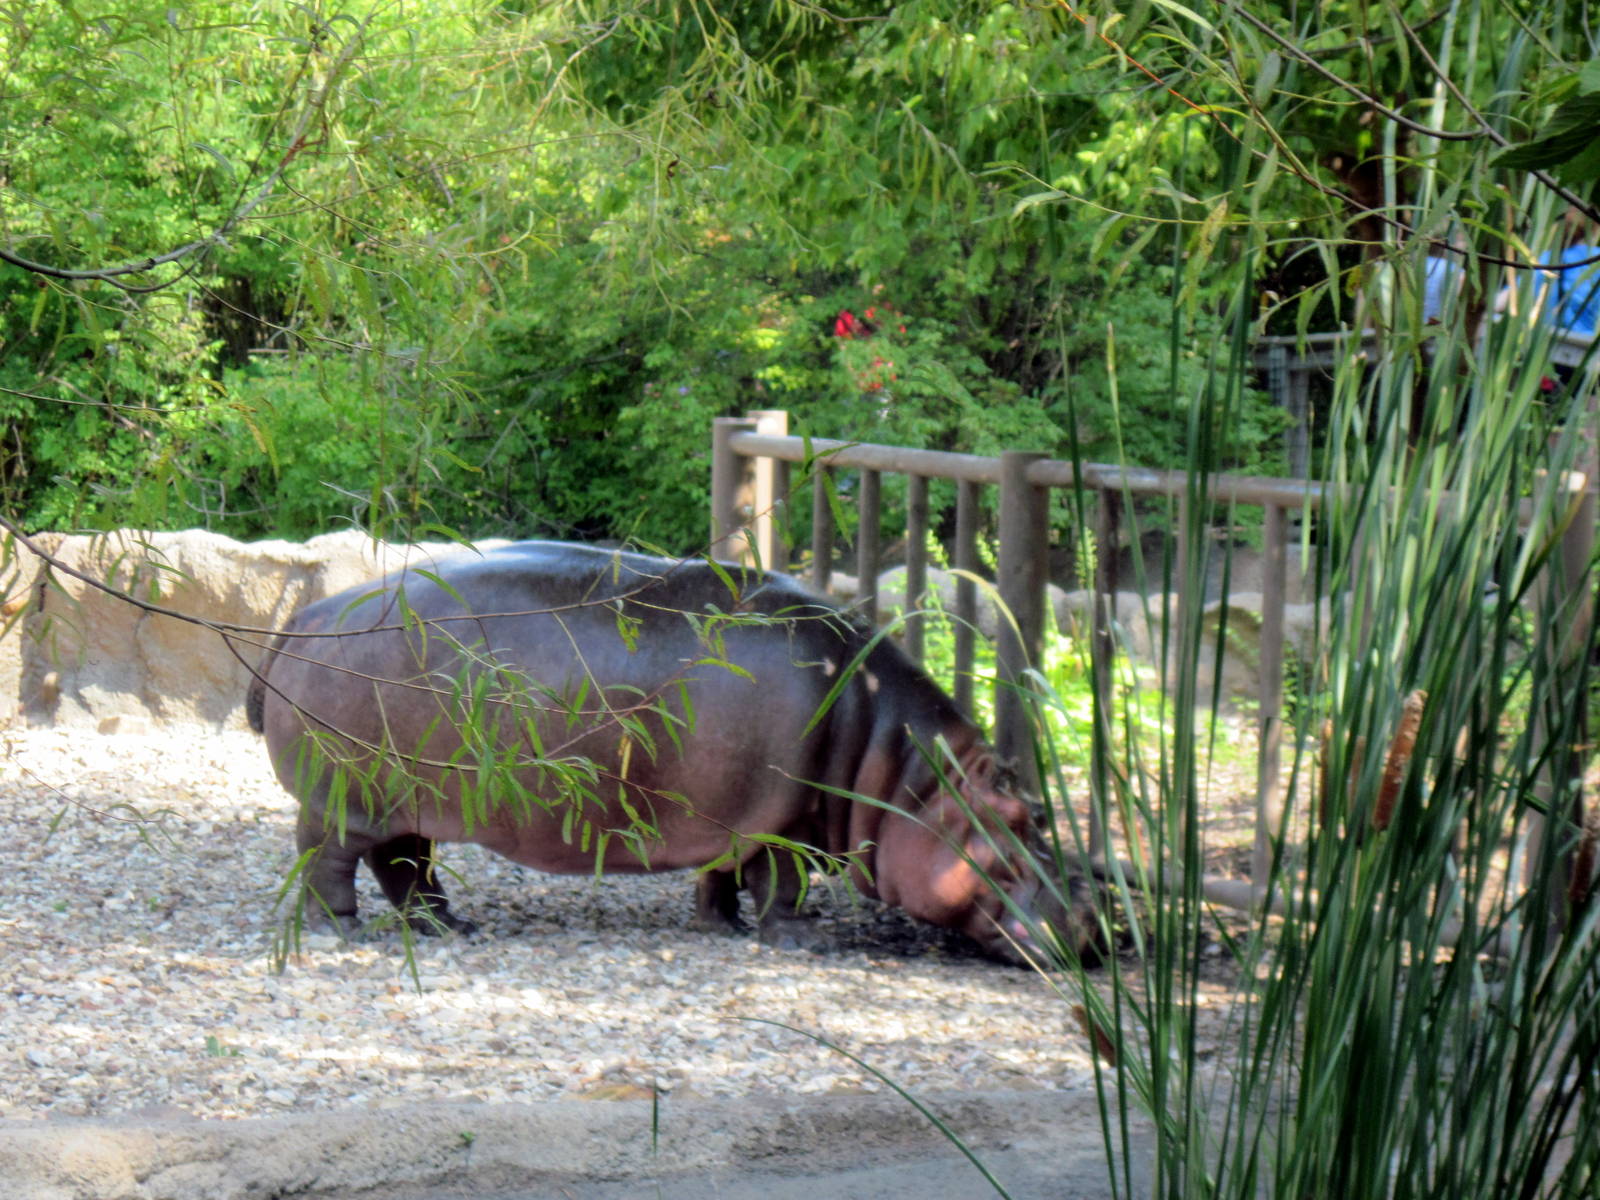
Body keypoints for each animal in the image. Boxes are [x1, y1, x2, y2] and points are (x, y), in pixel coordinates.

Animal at [248, 541, 1096, 964]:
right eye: (1024, 815)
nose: (1103, 924)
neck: (900, 770)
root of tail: (307, 616)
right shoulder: (786, 820)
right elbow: (781, 883)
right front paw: (804, 938)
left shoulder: (743, 812)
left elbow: (722, 872)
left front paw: (719, 925)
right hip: (345, 799)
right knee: (328, 857)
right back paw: (342, 929)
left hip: (409, 800)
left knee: (405, 865)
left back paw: (449, 926)